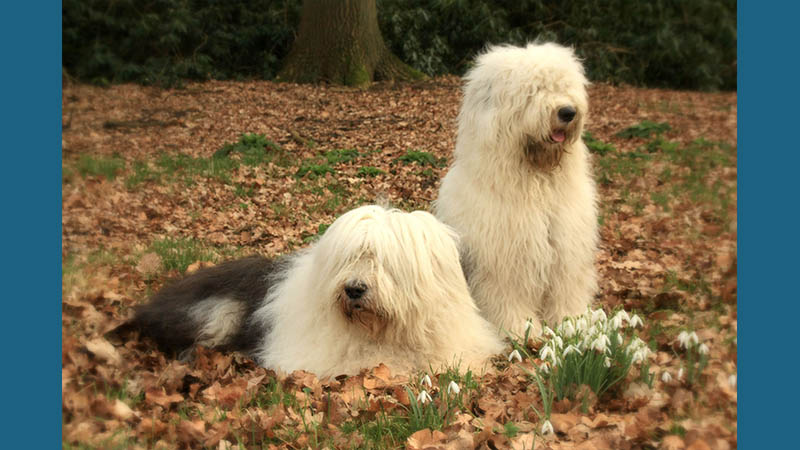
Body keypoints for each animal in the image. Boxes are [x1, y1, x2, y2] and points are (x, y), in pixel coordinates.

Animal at [434, 43, 596, 338]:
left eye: (564, 86)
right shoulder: (506, 259)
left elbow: (567, 289)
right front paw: (521, 329)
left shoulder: (566, 251)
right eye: (533, 90)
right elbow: (508, 296)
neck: (537, 181)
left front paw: (572, 323)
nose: (568, 112)